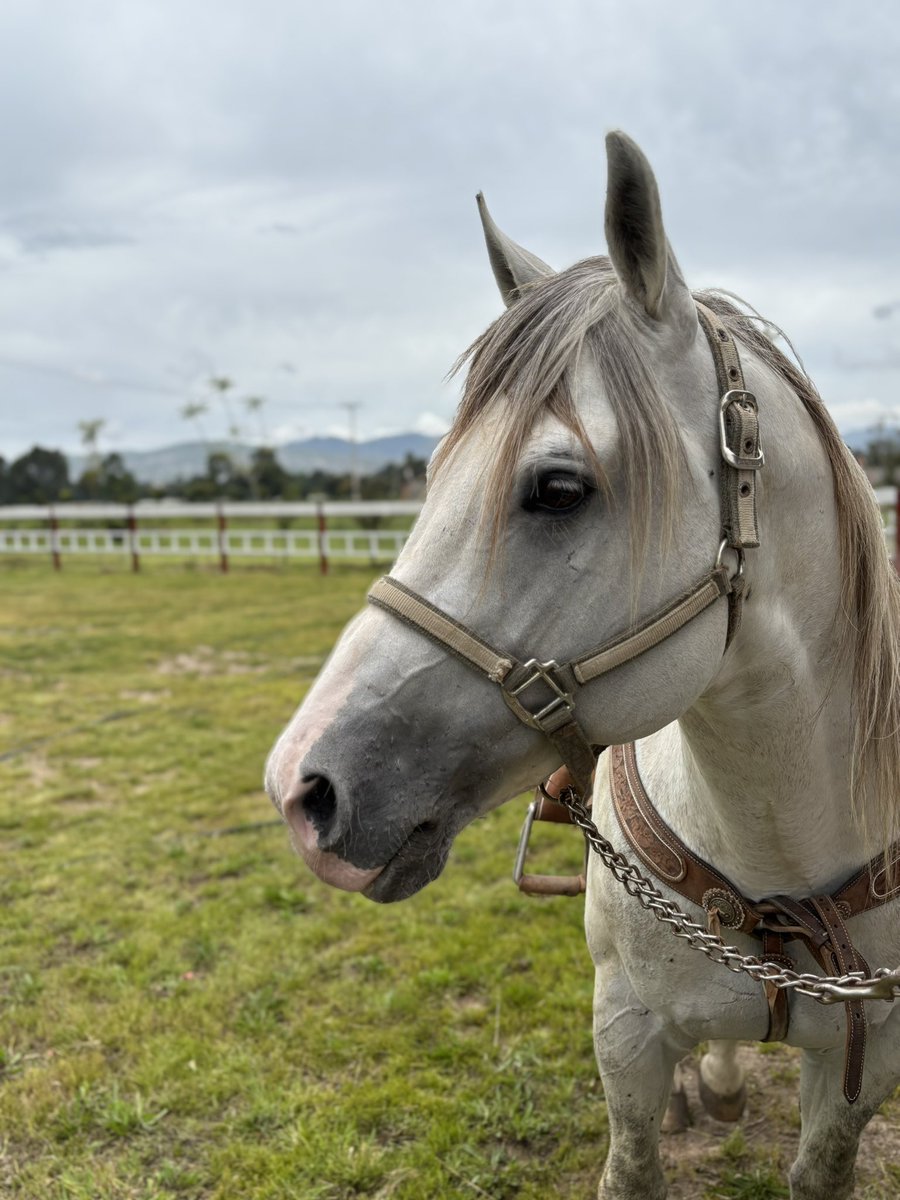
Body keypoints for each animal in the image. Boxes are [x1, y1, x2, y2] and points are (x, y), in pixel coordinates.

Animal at [265, 131, 900, 1199]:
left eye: (559, 488)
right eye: (431, 474)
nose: (302, 789)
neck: (778, 859)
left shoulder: (865, 1066)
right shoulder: (626, 1036)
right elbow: (635, 1160)